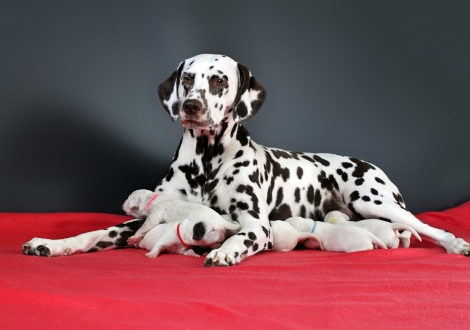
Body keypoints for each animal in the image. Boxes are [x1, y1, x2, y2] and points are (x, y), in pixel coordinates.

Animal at [23, 54, 470, 266]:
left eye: (220, 80)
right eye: (188, 78)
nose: (191, 106)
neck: (206, 164)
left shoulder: (255, 224)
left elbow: (242, 235)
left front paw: (226, 250)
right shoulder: (150, 214)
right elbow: (93, 233)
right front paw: (53, 244)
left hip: (375, 200)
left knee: (428, 227)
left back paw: (455, 244)